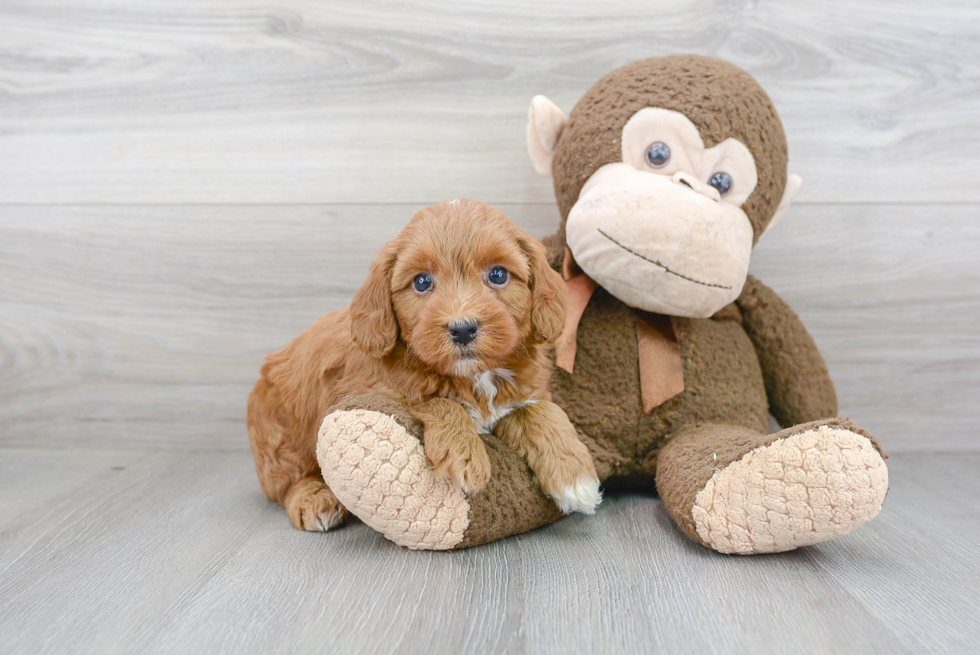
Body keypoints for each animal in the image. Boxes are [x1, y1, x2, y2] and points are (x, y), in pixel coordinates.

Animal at [247, 197, 596, 532]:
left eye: (498, 274)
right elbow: (431, 400)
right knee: (287, 479)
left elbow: (542, 410)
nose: (463, 328)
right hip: (280, 428)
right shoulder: (367, 392)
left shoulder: (524, 393)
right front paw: (464, 453)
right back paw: (314, 499)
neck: (473, 377)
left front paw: (575, 475)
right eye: (422, 282)